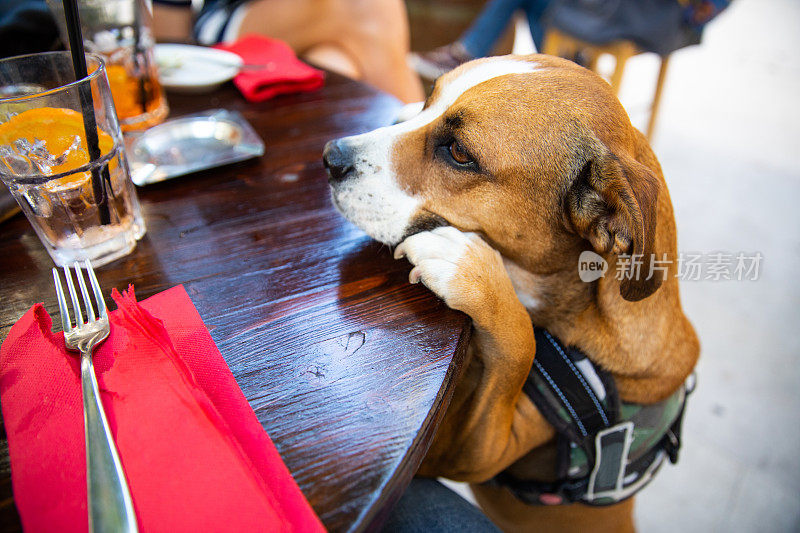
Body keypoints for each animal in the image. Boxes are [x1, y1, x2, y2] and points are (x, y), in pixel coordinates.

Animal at [322, 55, 696, 532]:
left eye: (460, 153)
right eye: (430, 99)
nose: (331, 157)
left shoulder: (469, 453)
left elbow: (520, 342)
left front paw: (472, 271)